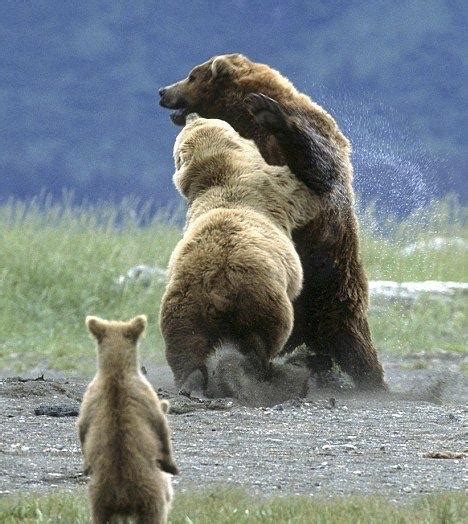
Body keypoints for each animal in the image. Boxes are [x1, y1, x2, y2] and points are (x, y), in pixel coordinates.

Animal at [78, 316, 177, 524]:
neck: (115, 370)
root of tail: (123, 493)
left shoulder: (91, 396)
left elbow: (82, 425)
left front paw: (86, 466)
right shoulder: (144, 392)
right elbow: (161, 425)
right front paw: (171, 464)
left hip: (99, 498)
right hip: (151, 496)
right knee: (155, 513)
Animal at [160, 114, 318, 392]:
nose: (191, 115)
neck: (221, 172)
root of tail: (218, 287)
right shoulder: (273, 188)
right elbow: (301, 190)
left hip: (183, 304)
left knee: (184, 345)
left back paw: (191, 380)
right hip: (262, 298)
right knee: (264, 338)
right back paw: (262, 369)